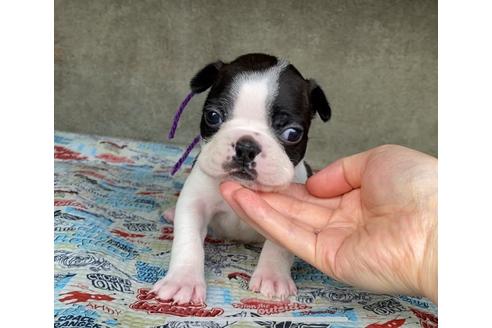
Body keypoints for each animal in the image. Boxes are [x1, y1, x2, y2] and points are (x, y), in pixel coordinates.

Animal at [152, 53, 332, 304]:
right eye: (213, 116)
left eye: (292, 133)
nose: (246, 147)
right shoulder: (194, 202)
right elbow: (189, 241)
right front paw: (182, 281)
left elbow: (278, 245)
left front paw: (272, 277)